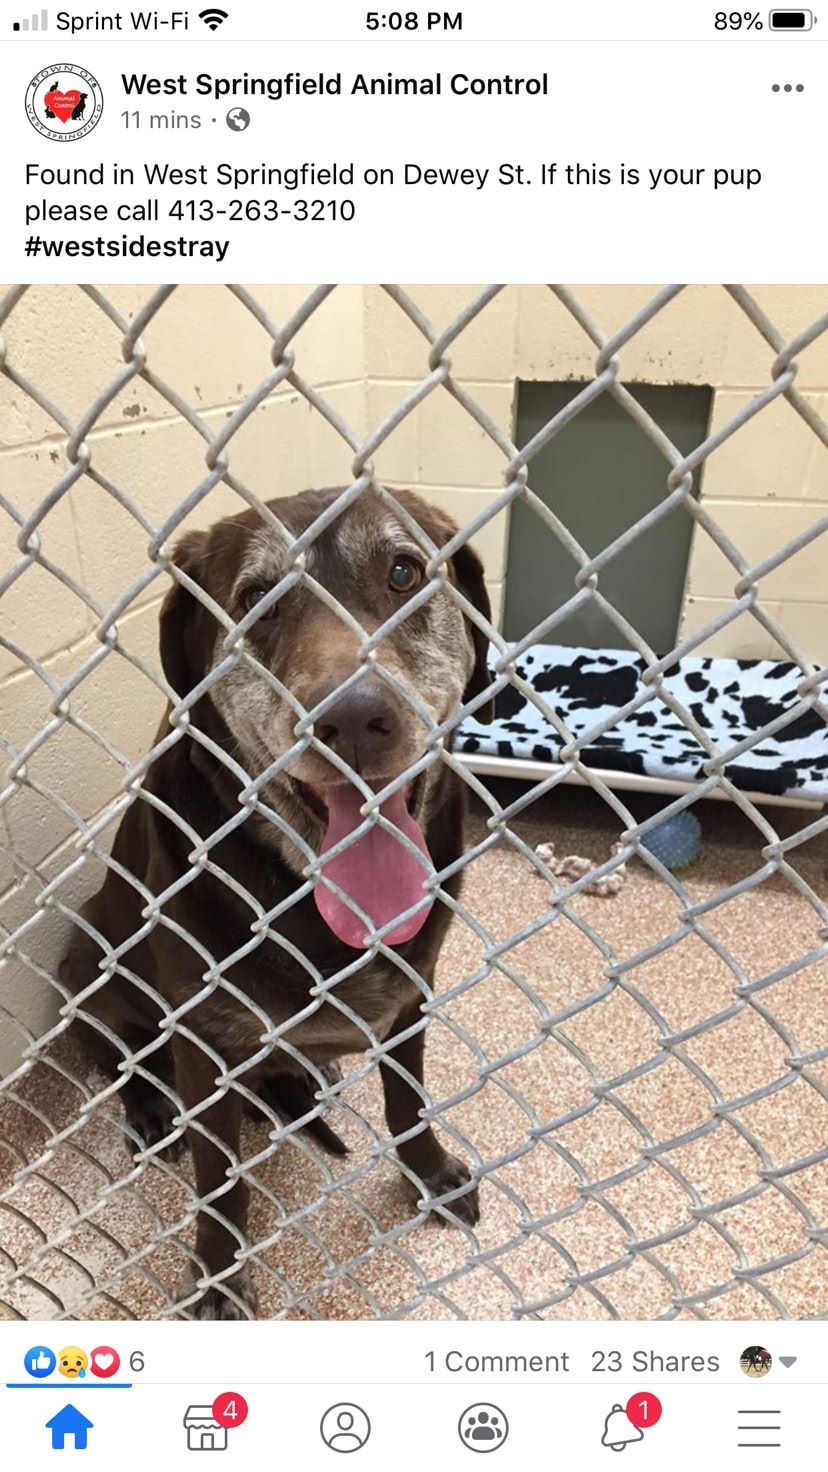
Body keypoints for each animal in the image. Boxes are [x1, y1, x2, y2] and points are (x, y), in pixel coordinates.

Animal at [60, 486, 492, 1318]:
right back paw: (151, 1110)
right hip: (85, 958)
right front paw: (219, 1277)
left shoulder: (412, 996)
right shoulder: (203, 1045)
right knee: (125, 1057)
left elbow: (408, 1102)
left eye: (403, 571)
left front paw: (428, 1174)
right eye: (256, 599)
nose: (353, 718)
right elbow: (219, 1181)